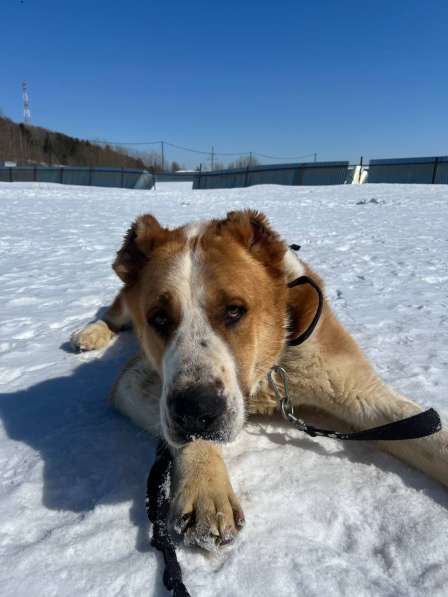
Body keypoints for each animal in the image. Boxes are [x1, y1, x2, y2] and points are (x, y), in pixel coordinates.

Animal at [70, 210, 448, 548]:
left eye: (234, 310)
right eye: (159, 318)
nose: (195, 411)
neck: (267, 371)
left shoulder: (358, 390)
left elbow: (427, 435)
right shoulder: (138, 381)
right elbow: (188, 437)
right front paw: (207, 490)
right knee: (113, 313)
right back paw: (89, 334)